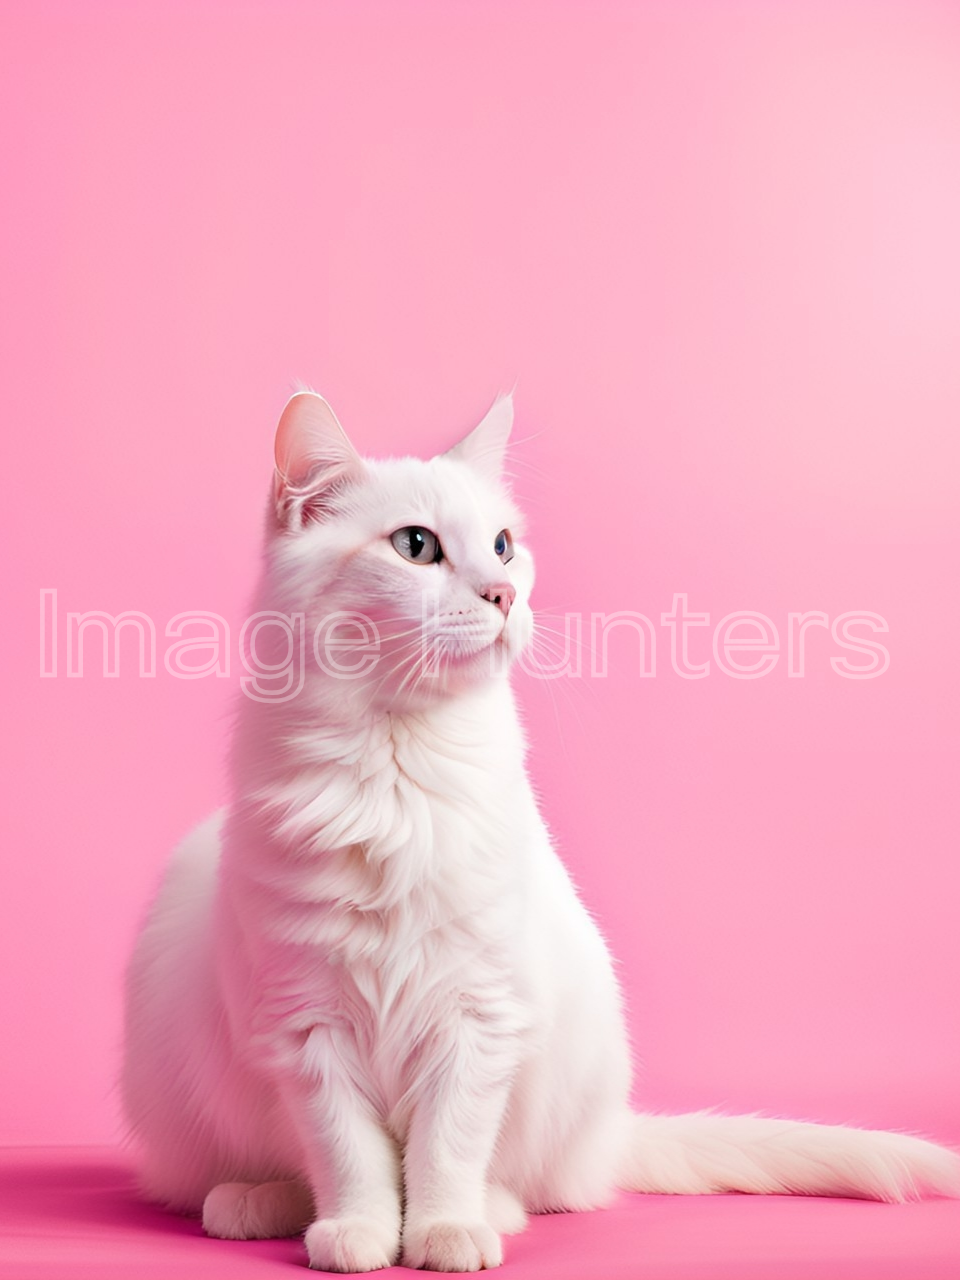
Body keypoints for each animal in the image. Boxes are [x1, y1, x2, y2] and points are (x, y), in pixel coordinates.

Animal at [122, 389, 960, 1269]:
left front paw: (444, 1232)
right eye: (416, 547)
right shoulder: (306, 1028)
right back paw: (257, 1202)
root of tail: (610, 1137)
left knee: (541, 1186)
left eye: (503, 546)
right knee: (272, 1173)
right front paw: (359, 1233)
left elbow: (445, 1150)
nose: (504, 595)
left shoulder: (480, 1018)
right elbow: (351, 1155)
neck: (398, 773)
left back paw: (486, 1212)